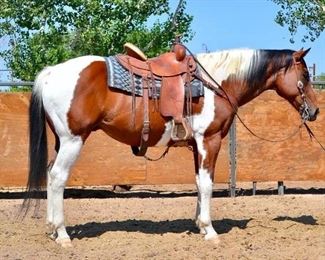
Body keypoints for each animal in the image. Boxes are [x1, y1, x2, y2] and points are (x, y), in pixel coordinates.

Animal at [24, 46, 318, 248]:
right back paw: (63, 234)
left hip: (61, 140)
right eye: (305, 74)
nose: (314, 111)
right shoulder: (209, 140)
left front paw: (200, 225)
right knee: (58, 177)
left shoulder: (196, 144)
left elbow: (199, 182)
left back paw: (52, 228)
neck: (217, 84)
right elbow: (208, 184)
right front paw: (210, 231)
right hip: (73, 139)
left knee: (50, 174)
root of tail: (50, 73)